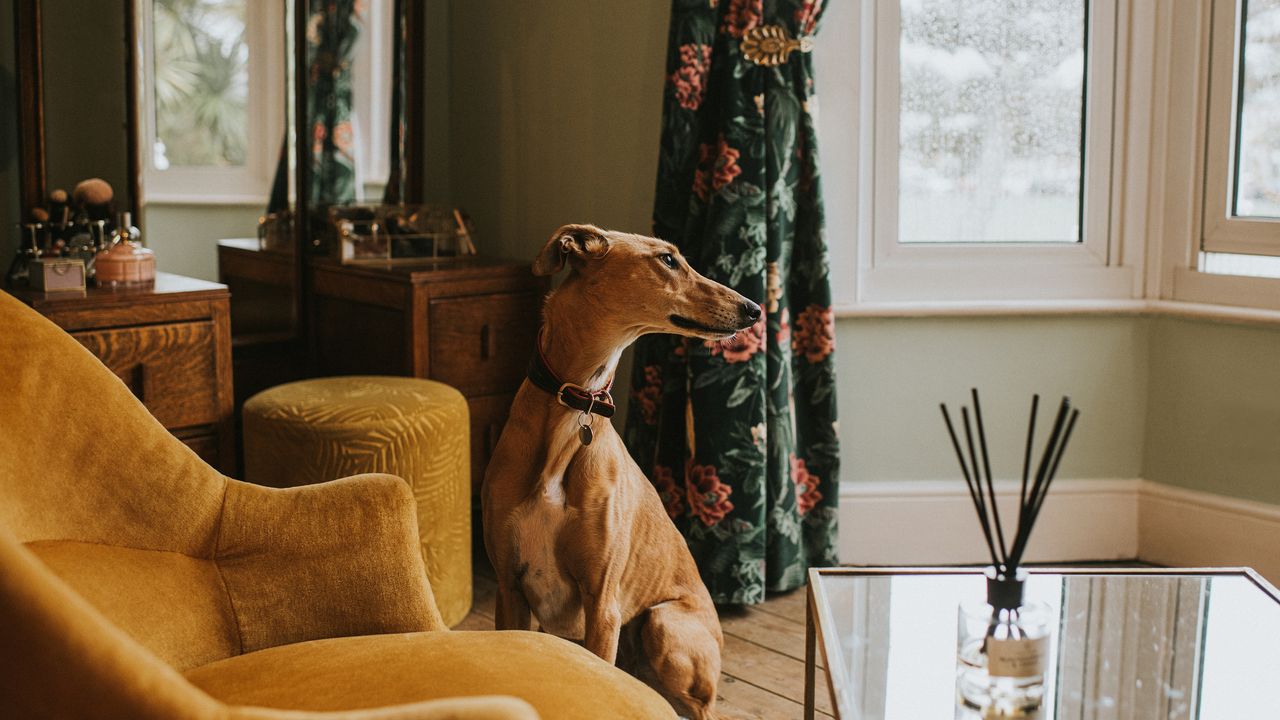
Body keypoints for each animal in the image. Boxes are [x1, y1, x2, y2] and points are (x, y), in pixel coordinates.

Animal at [481, 224, 757, 717]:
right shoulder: (510, 590)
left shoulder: (602, 604)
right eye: (667, 259)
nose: (755, 309)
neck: (572, 405)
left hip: (665, 626)